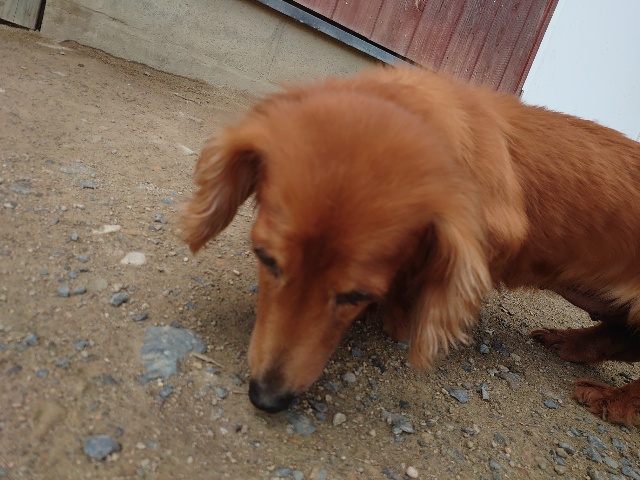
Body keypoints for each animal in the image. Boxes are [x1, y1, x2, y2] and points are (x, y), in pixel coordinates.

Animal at [181, 66, 640, 424]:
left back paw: (612, 401)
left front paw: (398, 318)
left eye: (356, 294)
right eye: (265, 259)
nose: (266, 398)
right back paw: (568, 343)